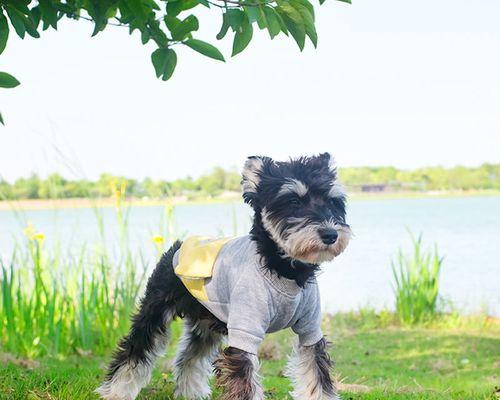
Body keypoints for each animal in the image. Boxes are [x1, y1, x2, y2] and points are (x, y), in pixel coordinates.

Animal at [94, 153, 352, 400]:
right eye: (293, 201)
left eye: (333, 202)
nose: (330, 234)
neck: (284, 271)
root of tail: (179, 246)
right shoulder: (244, 331)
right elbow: (245, 379)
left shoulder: (310, 330)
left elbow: (316, 371)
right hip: (155, 312)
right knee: (135, 349)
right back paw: (116, 391)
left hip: (206, 323)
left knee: (189, 356)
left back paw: (191, 391)